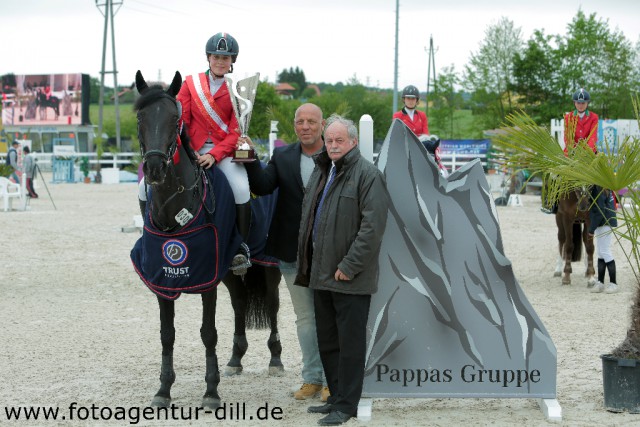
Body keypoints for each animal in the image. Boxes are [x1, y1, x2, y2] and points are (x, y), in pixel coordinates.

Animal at [132, 71, 282, 412]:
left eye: (175, 119)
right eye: (140, 117)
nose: (155, 169)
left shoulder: (206, 280)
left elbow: (208, 332)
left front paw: (211, 392)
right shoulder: (163, 279)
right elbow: (167, 334)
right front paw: (163, 390)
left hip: (269, 266)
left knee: (272, 304)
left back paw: (275, 359)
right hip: (228, 272)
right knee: (240, 302)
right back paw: (236, 359)